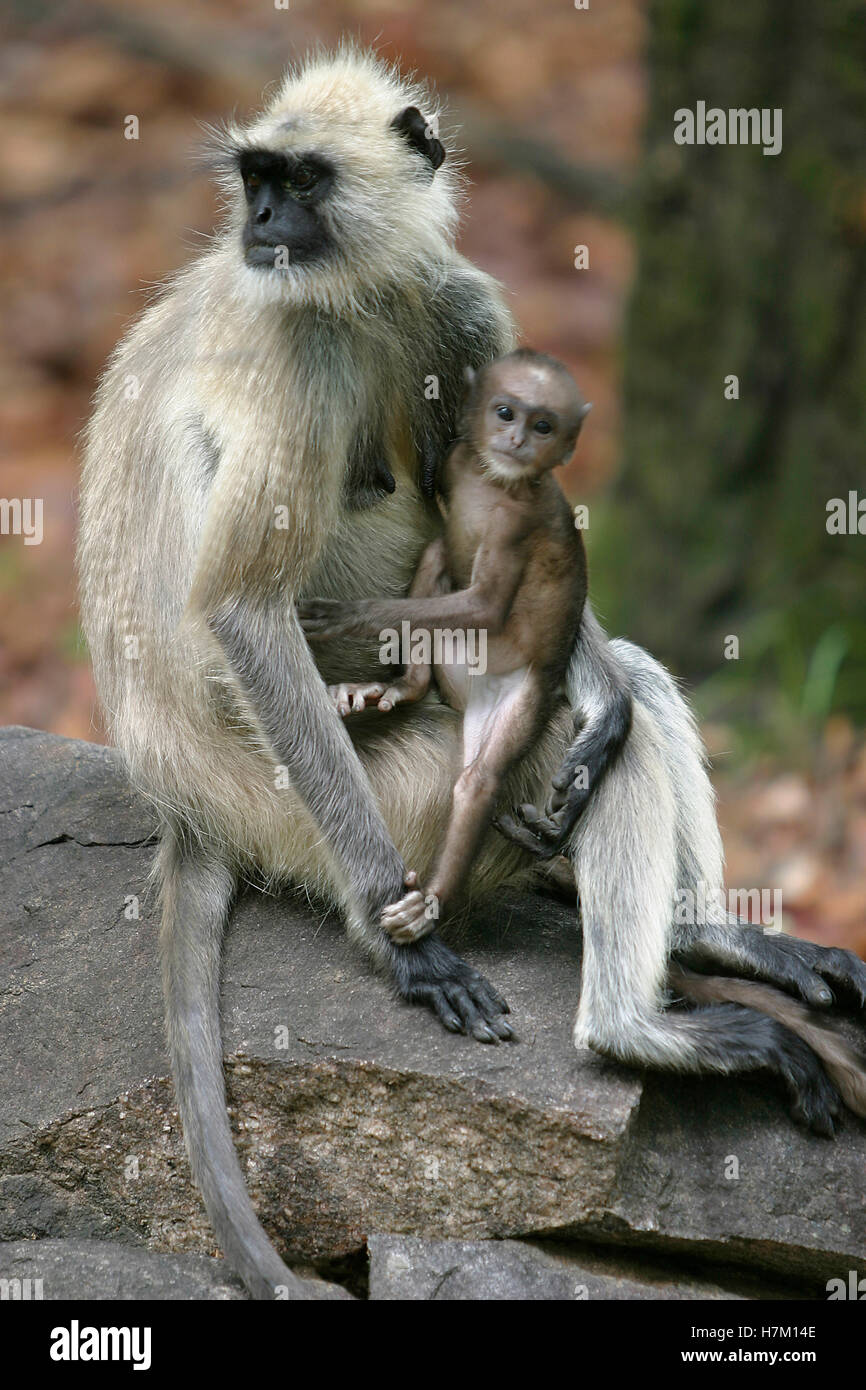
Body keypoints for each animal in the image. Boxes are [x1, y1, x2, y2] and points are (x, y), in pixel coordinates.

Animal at [297, 350, 631, 945]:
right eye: (505, 412)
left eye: (544, 426)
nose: (516, 440)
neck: (493, 483)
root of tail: (473, 698)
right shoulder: (457, 461)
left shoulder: (517, 524)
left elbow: (488, 606)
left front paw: (347, 615)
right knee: (434, 556)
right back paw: (407, 688)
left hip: (520, 697)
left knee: (475, 784)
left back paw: (433, 903)